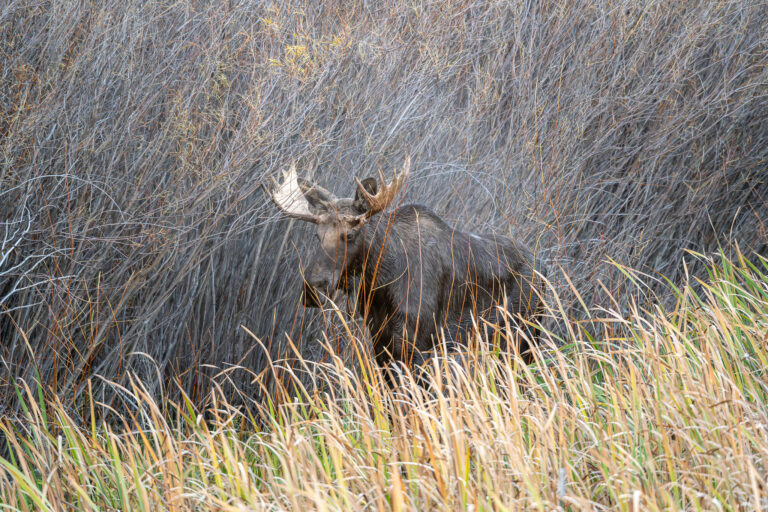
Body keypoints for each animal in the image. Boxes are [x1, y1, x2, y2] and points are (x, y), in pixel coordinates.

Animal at [268, 154, 544, 374]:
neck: (380, 284)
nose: (312, 288)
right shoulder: (381, 343)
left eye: (350, 234)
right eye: (317, 235)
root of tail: (540, 266)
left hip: (525, 335)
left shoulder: (418, 344)